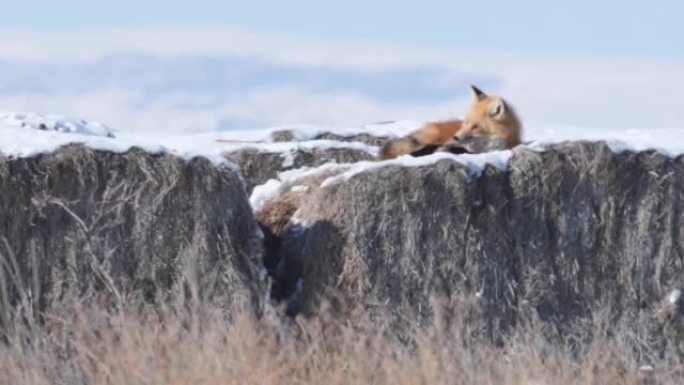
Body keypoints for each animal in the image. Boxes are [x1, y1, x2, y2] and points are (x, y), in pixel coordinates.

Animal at [380, 85, 524, 159]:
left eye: (475, 127)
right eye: (466, 122)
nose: (455, 137)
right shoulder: (444, 143)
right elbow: (427, 149)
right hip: (433, 135)